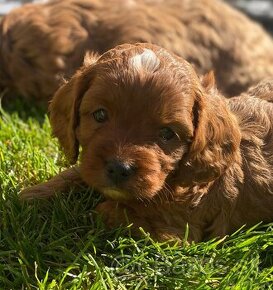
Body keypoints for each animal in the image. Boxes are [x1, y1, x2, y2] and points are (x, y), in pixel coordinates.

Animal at [19, 43, 273, 242]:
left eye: (167, 133)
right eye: (100, 115)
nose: (119, 169)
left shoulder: (175, 229)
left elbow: (112, 211)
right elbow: (76, 174)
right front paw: (34, 195)